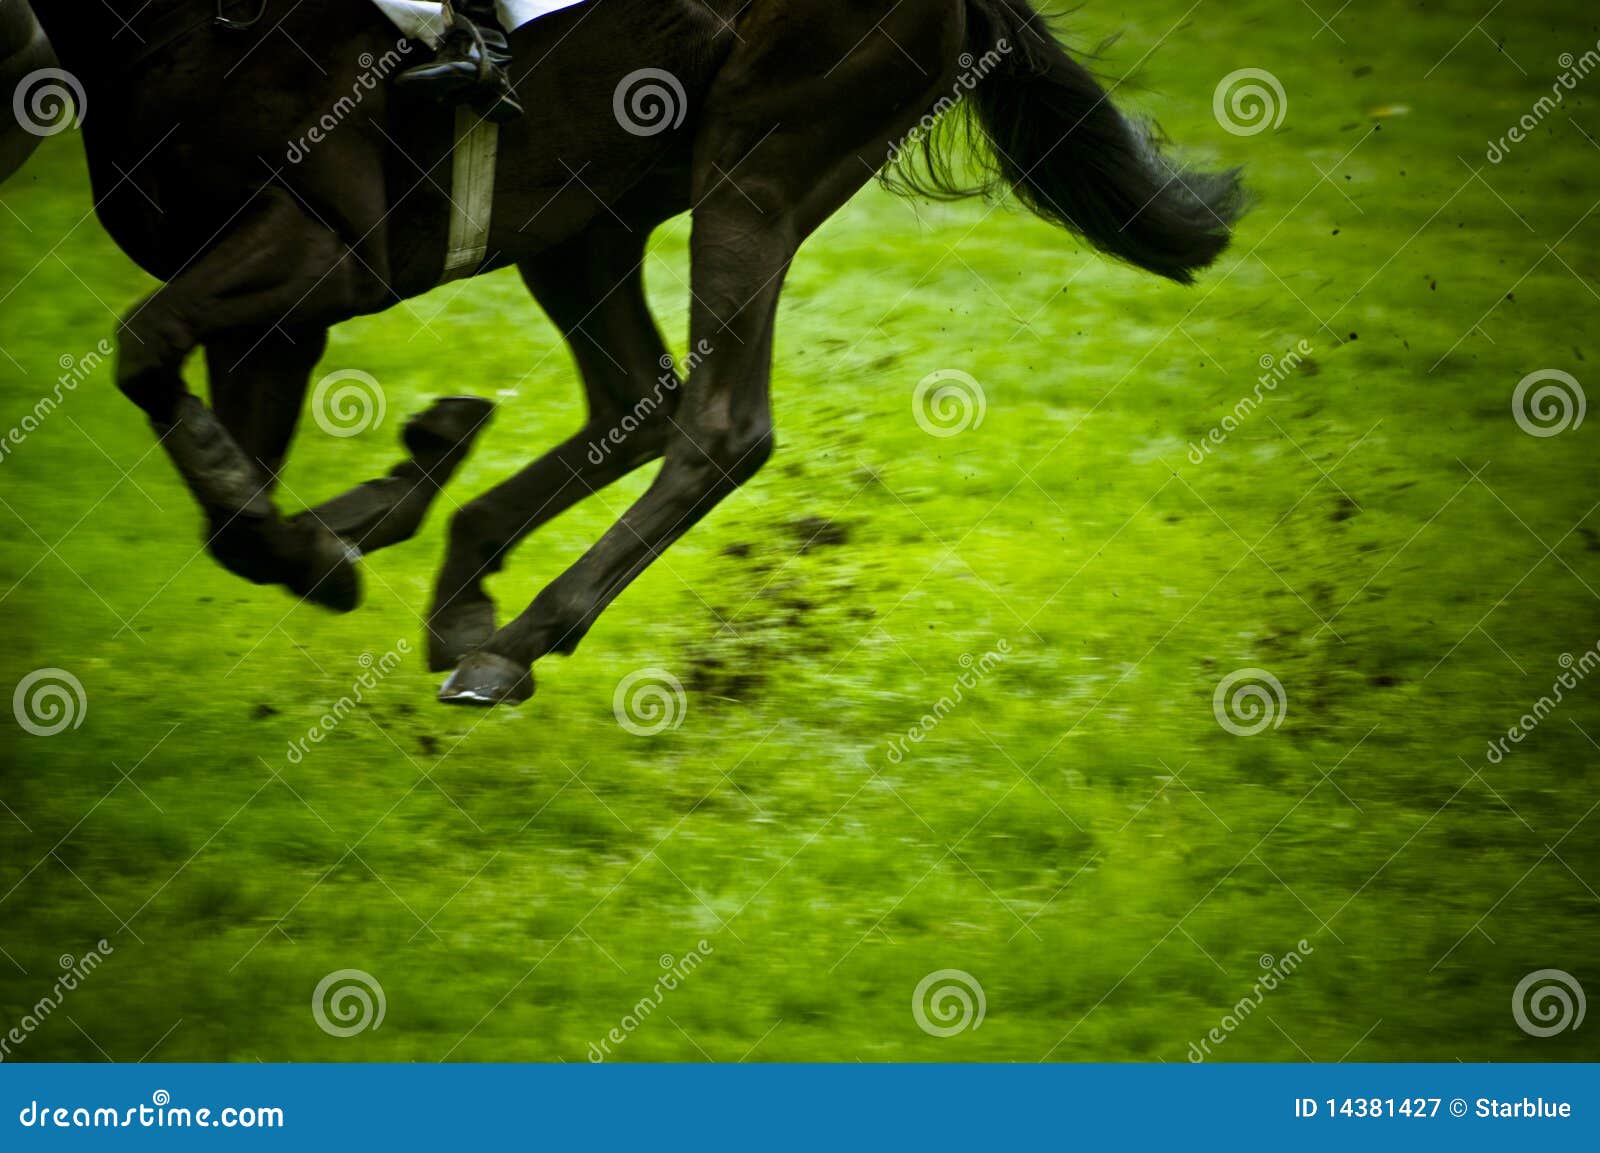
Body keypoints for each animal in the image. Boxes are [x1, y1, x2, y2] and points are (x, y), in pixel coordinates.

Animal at [0, 0, 1241, 706]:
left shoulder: (318, 247)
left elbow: (145, 347)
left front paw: (338, 530)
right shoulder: (280, 311)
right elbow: (231, 512)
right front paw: (349, 521)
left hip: (755, 157)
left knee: (718, 426)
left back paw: (513, 639)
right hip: (584, 205)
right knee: (635, 398)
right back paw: (461, 569)